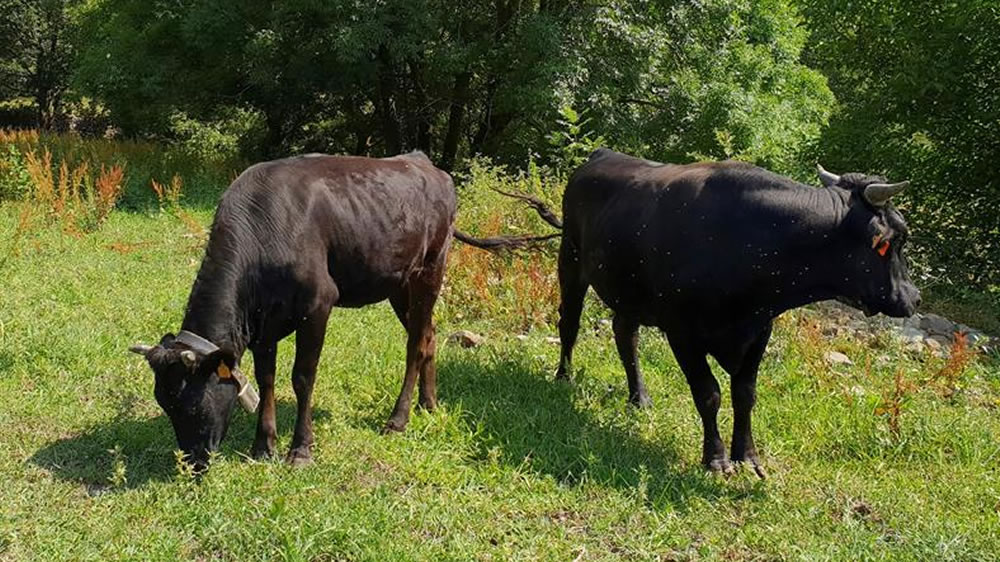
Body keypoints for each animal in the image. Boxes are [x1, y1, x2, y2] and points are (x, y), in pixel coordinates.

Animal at [129, 151, 454, 466]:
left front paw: (301, 450)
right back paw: (428, 403)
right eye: (164, 404)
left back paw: (398, 419)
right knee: (429, 334)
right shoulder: (262, 325)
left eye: (193, 405)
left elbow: (302, 377)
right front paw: (263, 446)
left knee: (415, 344)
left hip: (429, 270)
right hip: (398, 284)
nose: (192, 463)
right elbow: (266, 379)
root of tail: (423, 162)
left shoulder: (318, 304)